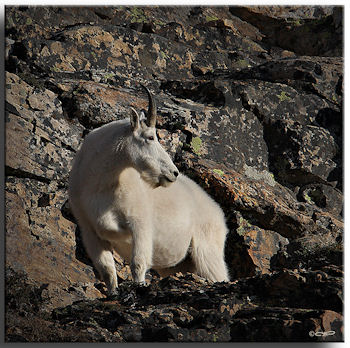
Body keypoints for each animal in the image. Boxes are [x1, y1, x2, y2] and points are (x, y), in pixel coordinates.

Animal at [68, 85, 230, 294]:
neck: (100, 184)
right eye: (151, 137)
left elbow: (138, 263)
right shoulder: (90, 231)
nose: (173, 172)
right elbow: (107, 270)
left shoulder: (140, 224)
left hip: (208, 253)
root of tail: (219, 215)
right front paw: (113, 293)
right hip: (181, 264)